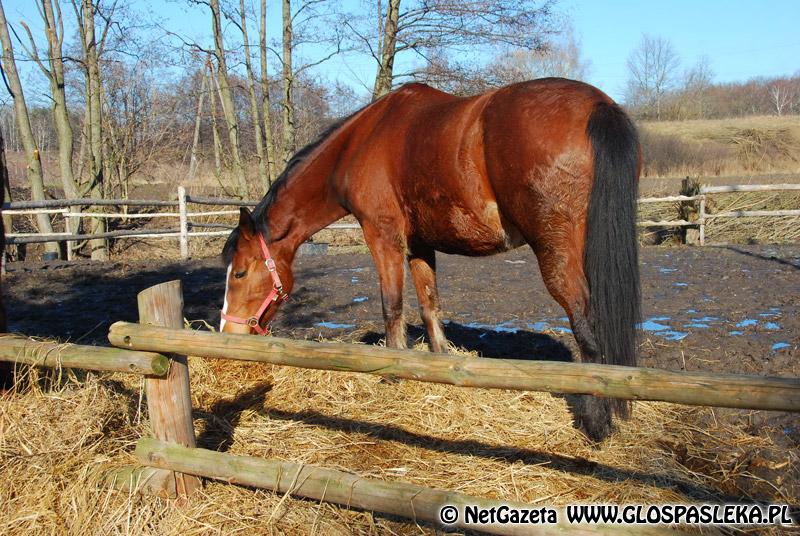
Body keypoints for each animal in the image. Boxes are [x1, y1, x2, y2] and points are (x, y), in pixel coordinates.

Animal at [220, 78, 644, 440]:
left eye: (239, 272)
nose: (228, 332)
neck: (361, 141)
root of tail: (598, 106)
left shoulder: (383, 237)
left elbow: (392, 306)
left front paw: (393, 375)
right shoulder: (421, 246)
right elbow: (429, 305)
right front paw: (438, 366)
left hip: (556, 253)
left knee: (586, 327)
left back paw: (596, 423)